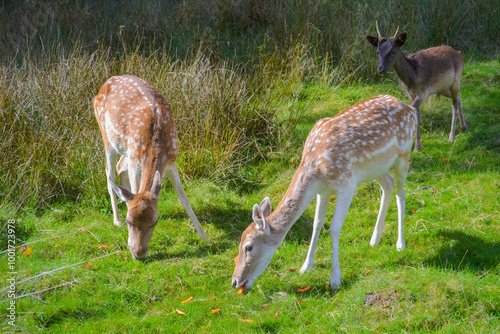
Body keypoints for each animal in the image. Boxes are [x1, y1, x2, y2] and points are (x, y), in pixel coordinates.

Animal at [94, 74, 209, 260]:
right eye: (129, 221)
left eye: (155, 221)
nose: (138, 254)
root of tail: (106, 83)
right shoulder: (135, 158)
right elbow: (135, 190)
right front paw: (127, 238)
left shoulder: (171, 161)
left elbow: (184, 199)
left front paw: (204, 236)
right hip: (107, 137)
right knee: (109, 174)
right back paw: (116, 220)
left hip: (126, 148)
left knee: (120, 167)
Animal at [232, 94, 416, 290]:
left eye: (249, 247)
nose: (235, 281)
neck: (316, 168)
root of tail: (410, 108)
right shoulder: (323, 191)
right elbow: (317, 223)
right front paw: (306, 266)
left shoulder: (347, 184)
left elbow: (334, 228)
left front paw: (335, 279)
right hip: (376, 168)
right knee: (388, 184)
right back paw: (375, 239)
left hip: (404, 155)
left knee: (401, 193)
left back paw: (400, 244)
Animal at [366, 23, 466, 153]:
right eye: (378, 52)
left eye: (393, 52)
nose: (380, 69)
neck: (412, 77)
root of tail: (459, 53)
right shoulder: (412, 94)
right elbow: (417, 115)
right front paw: (417, 145)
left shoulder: (423, 93)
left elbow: (412, 110)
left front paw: (416, 147)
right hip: (444, 88)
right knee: (458, 97)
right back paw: (464, 127)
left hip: (456, 81)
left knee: (454, 104)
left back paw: (451, 137)